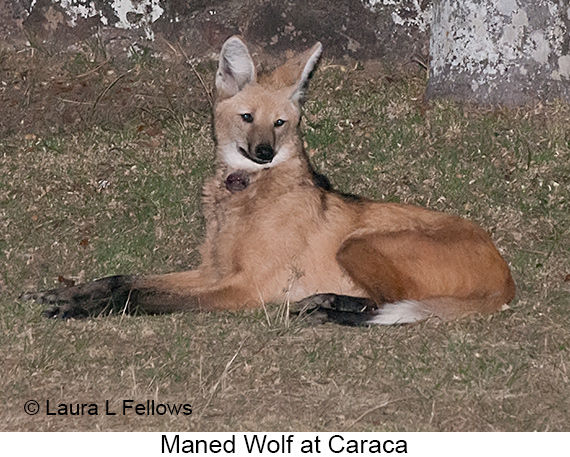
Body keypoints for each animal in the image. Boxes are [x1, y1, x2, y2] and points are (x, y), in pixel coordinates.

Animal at [23, 37, 516, 326]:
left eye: (280, 123)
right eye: (247, 117)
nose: (263, 153)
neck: (245, 193)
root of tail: (506, 277)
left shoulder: (245, 288)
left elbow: (142, 296)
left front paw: (76, 309)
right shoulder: (213, 270)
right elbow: (123, 279)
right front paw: (64, 294)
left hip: (357, 243)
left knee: (393, 307)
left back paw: (330, 311)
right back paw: (325, 302)